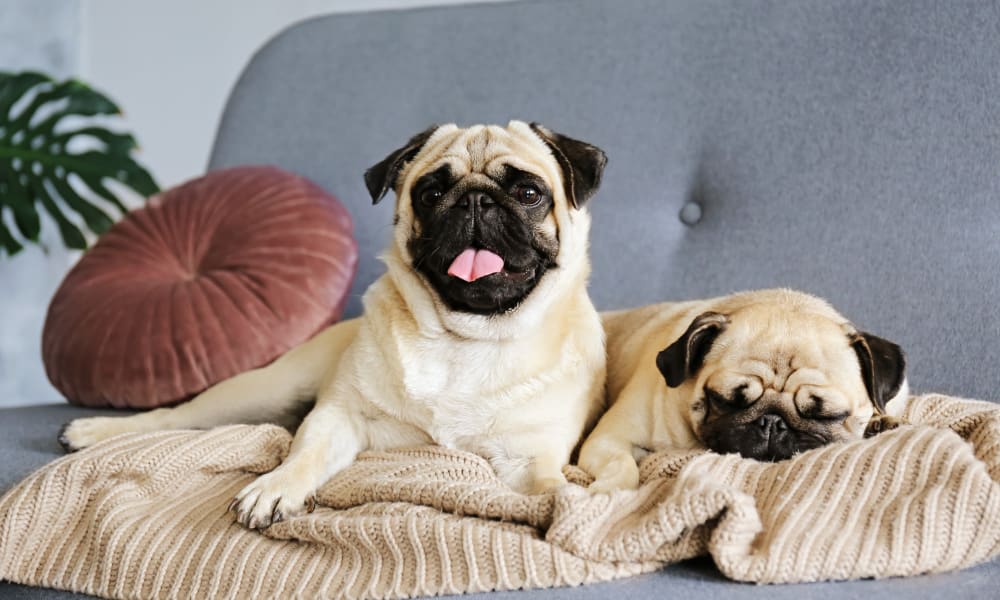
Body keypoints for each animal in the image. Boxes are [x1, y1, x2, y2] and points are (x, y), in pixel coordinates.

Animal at [64, 120, 608, 524]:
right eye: (431, 194)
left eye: (529, 192)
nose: (475, 199)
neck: (465, 336)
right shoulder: (340, 416)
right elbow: (304, 453)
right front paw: (276, 487)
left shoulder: (528, 456)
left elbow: (547, 485)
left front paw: (569, 503)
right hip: (263, 390)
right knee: (174, 418)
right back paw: (93, 431)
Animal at [576, 290, 912, 492]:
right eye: (726, 400)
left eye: (826, 414)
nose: (772, 422)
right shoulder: (609, 438)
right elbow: (623, 465)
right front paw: (610, 489)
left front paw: (880, 422)